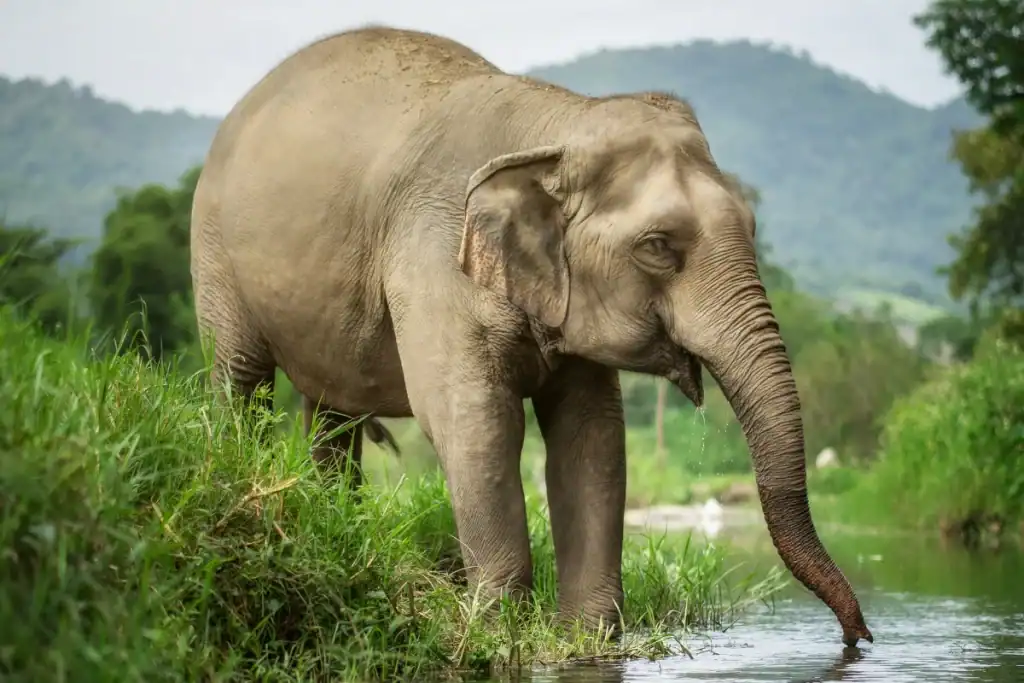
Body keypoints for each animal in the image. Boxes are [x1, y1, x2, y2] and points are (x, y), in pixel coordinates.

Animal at [189, 25, 873, 646]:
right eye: (658, 246)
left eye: (753, 226)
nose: (858, 638)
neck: (558, 124)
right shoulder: (435, 255)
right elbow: (477, 423)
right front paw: (500, 633)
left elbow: (592, 435)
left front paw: (587, 639)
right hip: (213, 249)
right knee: (242, 379)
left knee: (334, 416)